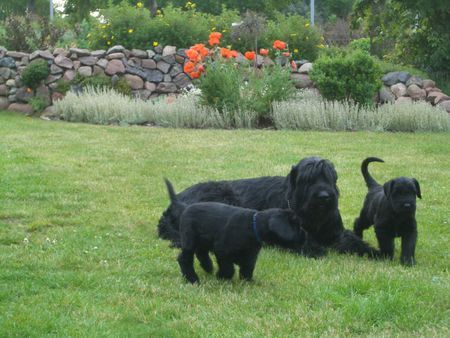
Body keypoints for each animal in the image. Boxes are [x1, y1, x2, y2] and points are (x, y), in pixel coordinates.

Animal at [165, 180, 324, 282]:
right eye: (296, 226)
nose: (306, 236)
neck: (253, 226)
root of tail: (185, 207)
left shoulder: (250, 255)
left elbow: (248, 267)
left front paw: (248, 281)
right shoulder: (222, 250)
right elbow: (228, 267)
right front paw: (223, 277)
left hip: (203, 240)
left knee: (201, 253)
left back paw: (208, 267)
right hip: (189, 240)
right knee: (185, 258)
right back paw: (192, 279)